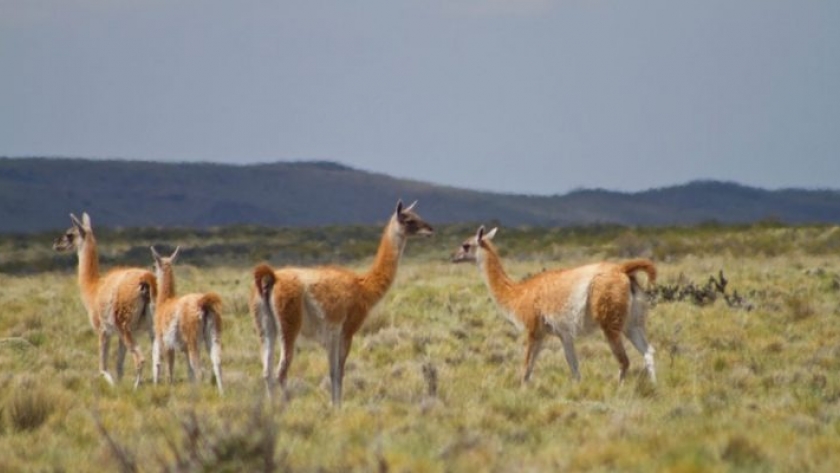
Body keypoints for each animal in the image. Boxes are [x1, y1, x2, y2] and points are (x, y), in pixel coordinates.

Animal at [53, 212, 158, 386]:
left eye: (70, 234)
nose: (56, 244)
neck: (93, 288)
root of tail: (146, 279)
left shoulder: (103, 330)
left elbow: (103, 368)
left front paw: (113, 385)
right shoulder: (118, 334)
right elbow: (119, 366)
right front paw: (120, 385)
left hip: (125, 325)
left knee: (140, 358)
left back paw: (136, 387)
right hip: (151, 327)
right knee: (158, 359)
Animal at [151, 245, 223, 392]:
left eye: (153, 265)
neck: (165, 302)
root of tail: (203, 303)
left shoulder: (166, 343)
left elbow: (169, 369)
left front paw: (169, 388)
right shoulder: (183, 349)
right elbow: (189, 374)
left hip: (193, 339)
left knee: (200, 371)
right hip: (213, 335)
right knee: (217, 364)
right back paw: (222, 393)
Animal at [249, 200, 434, 406]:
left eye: (417, 215)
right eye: (409, 220)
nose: (430, 229)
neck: (364, 287)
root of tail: (271, 278)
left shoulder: (332, 335)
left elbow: (332, 371)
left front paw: (334, 404)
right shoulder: (347, 331)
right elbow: (340, 372)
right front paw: (338, 406)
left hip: (265, 327)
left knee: (266, 372)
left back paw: (271, 407)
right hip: (289, 325)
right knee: (280, 372)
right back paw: (285, 406)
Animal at [452, 225, 656, 384]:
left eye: (466, 245)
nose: (453, 257)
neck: (519, 293)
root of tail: (622, 269)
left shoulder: (533, 329)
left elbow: (527, 367)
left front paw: (522, 391)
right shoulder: (561, 334)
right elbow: (574, 367)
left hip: (610, 320)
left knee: (624, 361)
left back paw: (618, 389)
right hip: (633, 322)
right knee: (648, 352)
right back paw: (655, 386)